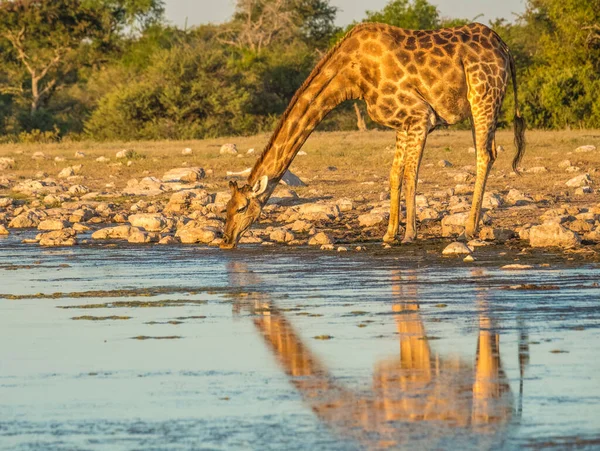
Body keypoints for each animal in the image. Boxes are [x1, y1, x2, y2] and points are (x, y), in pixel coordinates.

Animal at [221, 22, 524, 251]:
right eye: (226, 208)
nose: (226, 240)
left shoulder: (419, 115)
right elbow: (394, 174)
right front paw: (389, 234)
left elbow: (410, 174)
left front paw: (410, 234)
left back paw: (467, 230)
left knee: (484, 154)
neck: (351, 75)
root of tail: (505, 48)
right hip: (479, 105)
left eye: (241, 208)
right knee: (489, 152)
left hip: (483, 96)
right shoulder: (402, 123)